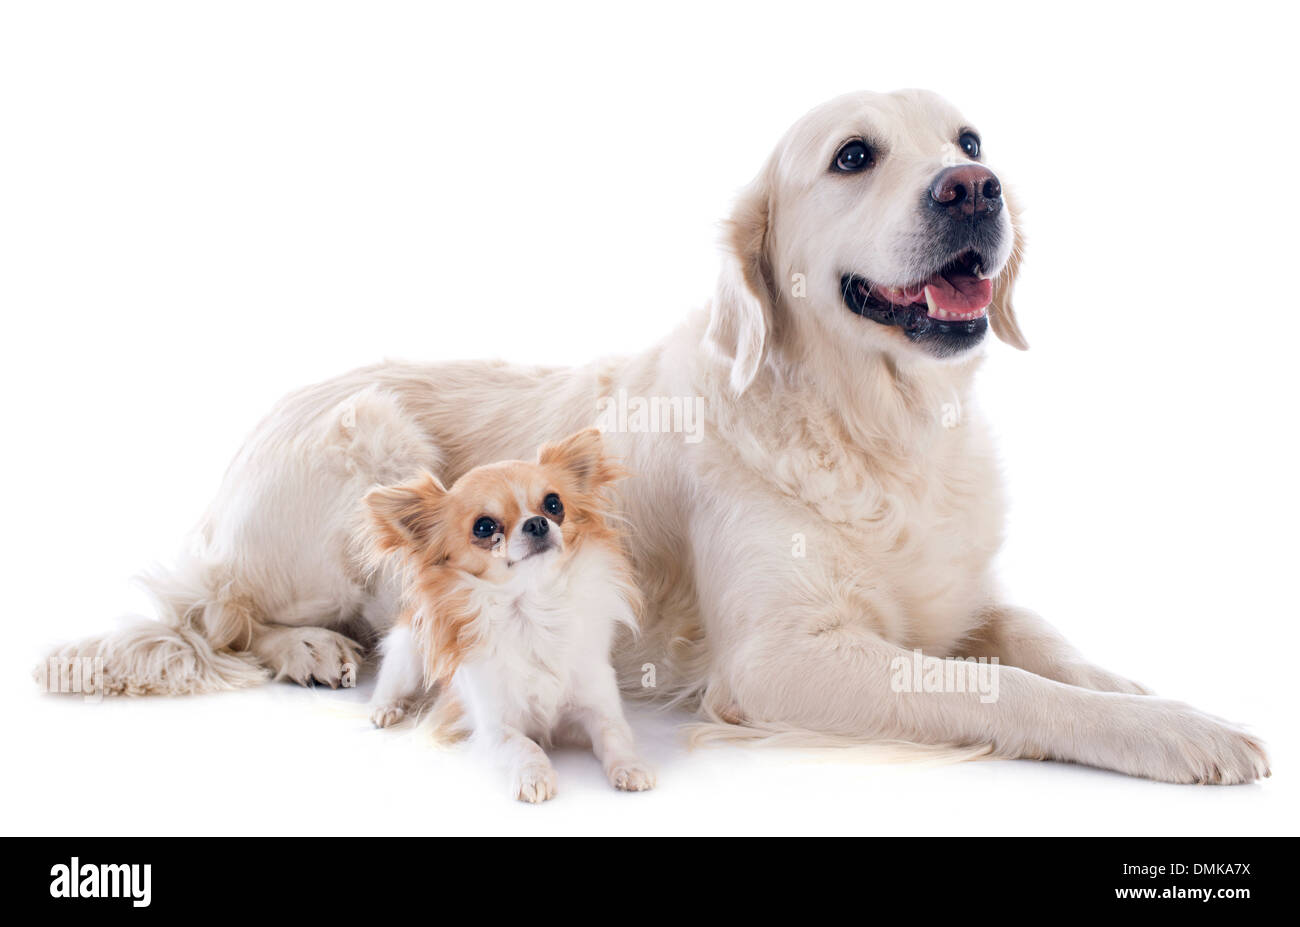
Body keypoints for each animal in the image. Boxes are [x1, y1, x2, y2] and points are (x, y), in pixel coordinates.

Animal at [364, 429, 650, 800]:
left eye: (554, 504)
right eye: (484, 527)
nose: (538, 522)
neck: (533, 610)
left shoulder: (598, 705)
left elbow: (616, 735)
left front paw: (630, 767)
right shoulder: (495, 727)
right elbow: (525, 746)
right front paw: (534, 776)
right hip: (408, 652)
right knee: (391, 681)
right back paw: (385, 708)